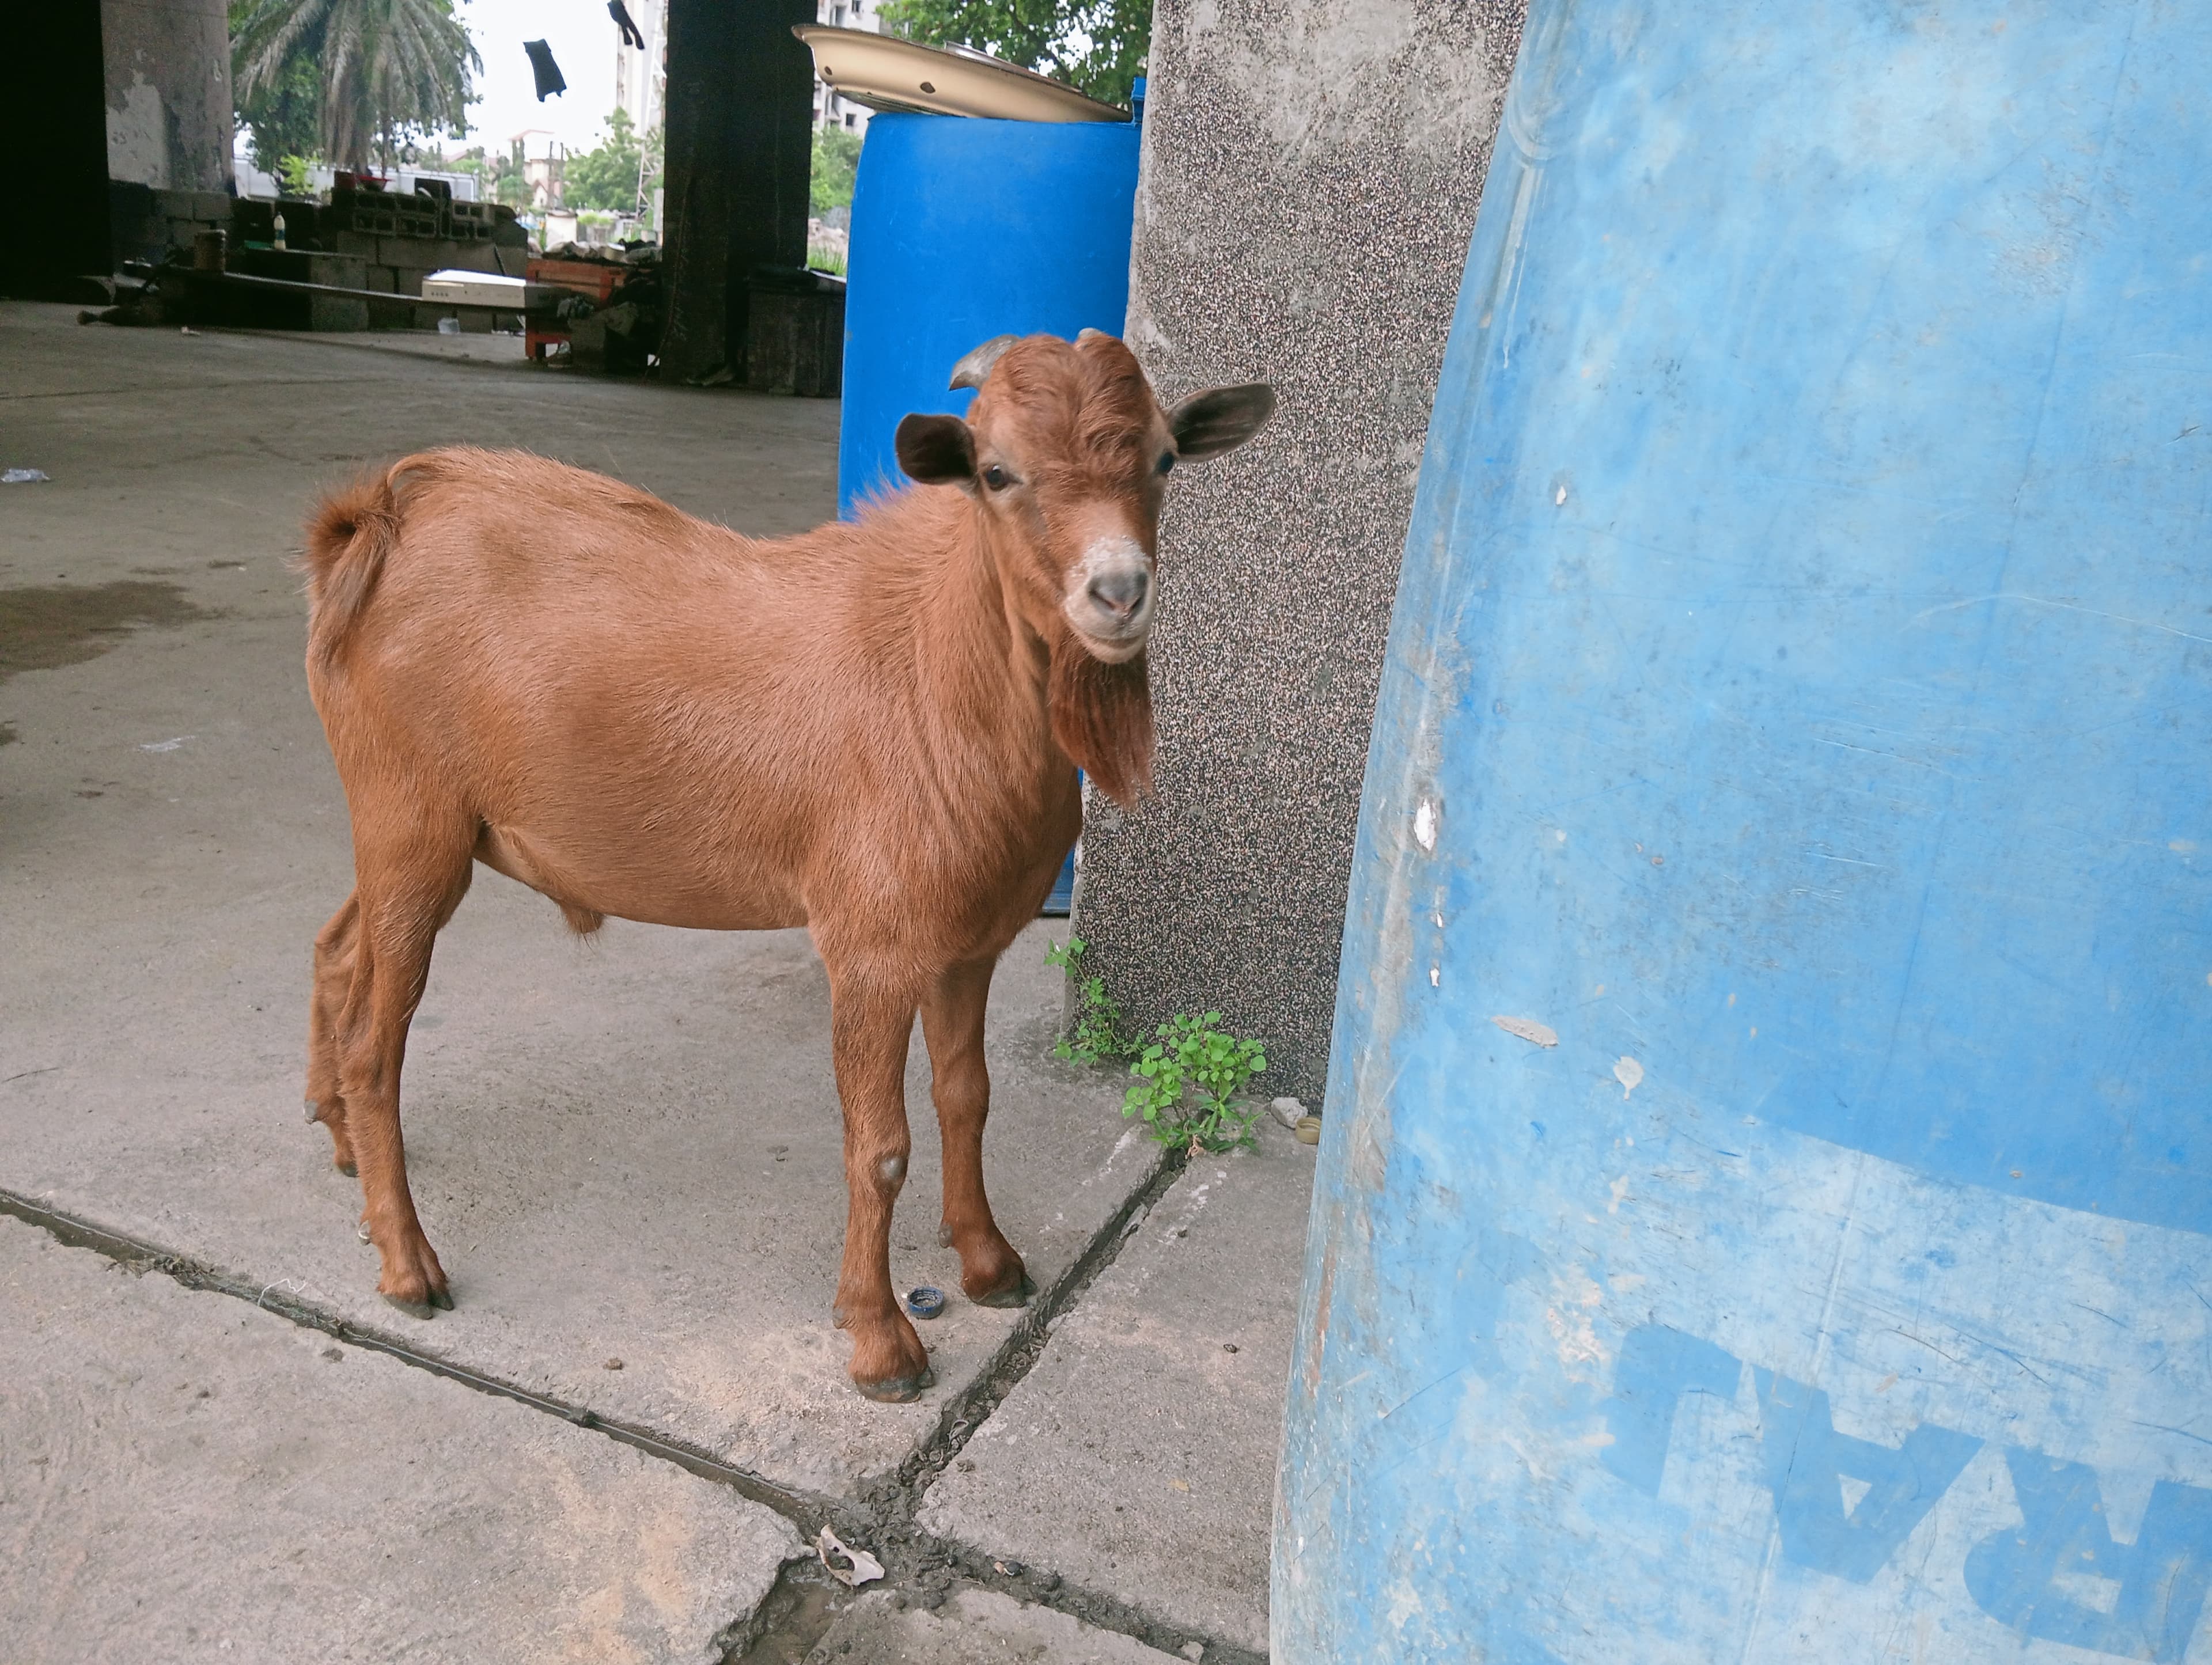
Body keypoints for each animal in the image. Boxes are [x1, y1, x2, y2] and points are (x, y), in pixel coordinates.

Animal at [297, 331, 1275, 1399]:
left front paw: (990, 1263)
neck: (935, 673)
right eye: (996, 472)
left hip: (409, 823)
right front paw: (882, 1341)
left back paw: (339, 1143)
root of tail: (374, 521)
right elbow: (880, 1145)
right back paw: (407, 1264)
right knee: (377, 1042)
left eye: (1165, 460)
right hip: (410, 817)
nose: (1118, 592)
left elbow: (967, 1098)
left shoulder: (967, 943)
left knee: (337, 951)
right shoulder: (871, 946)